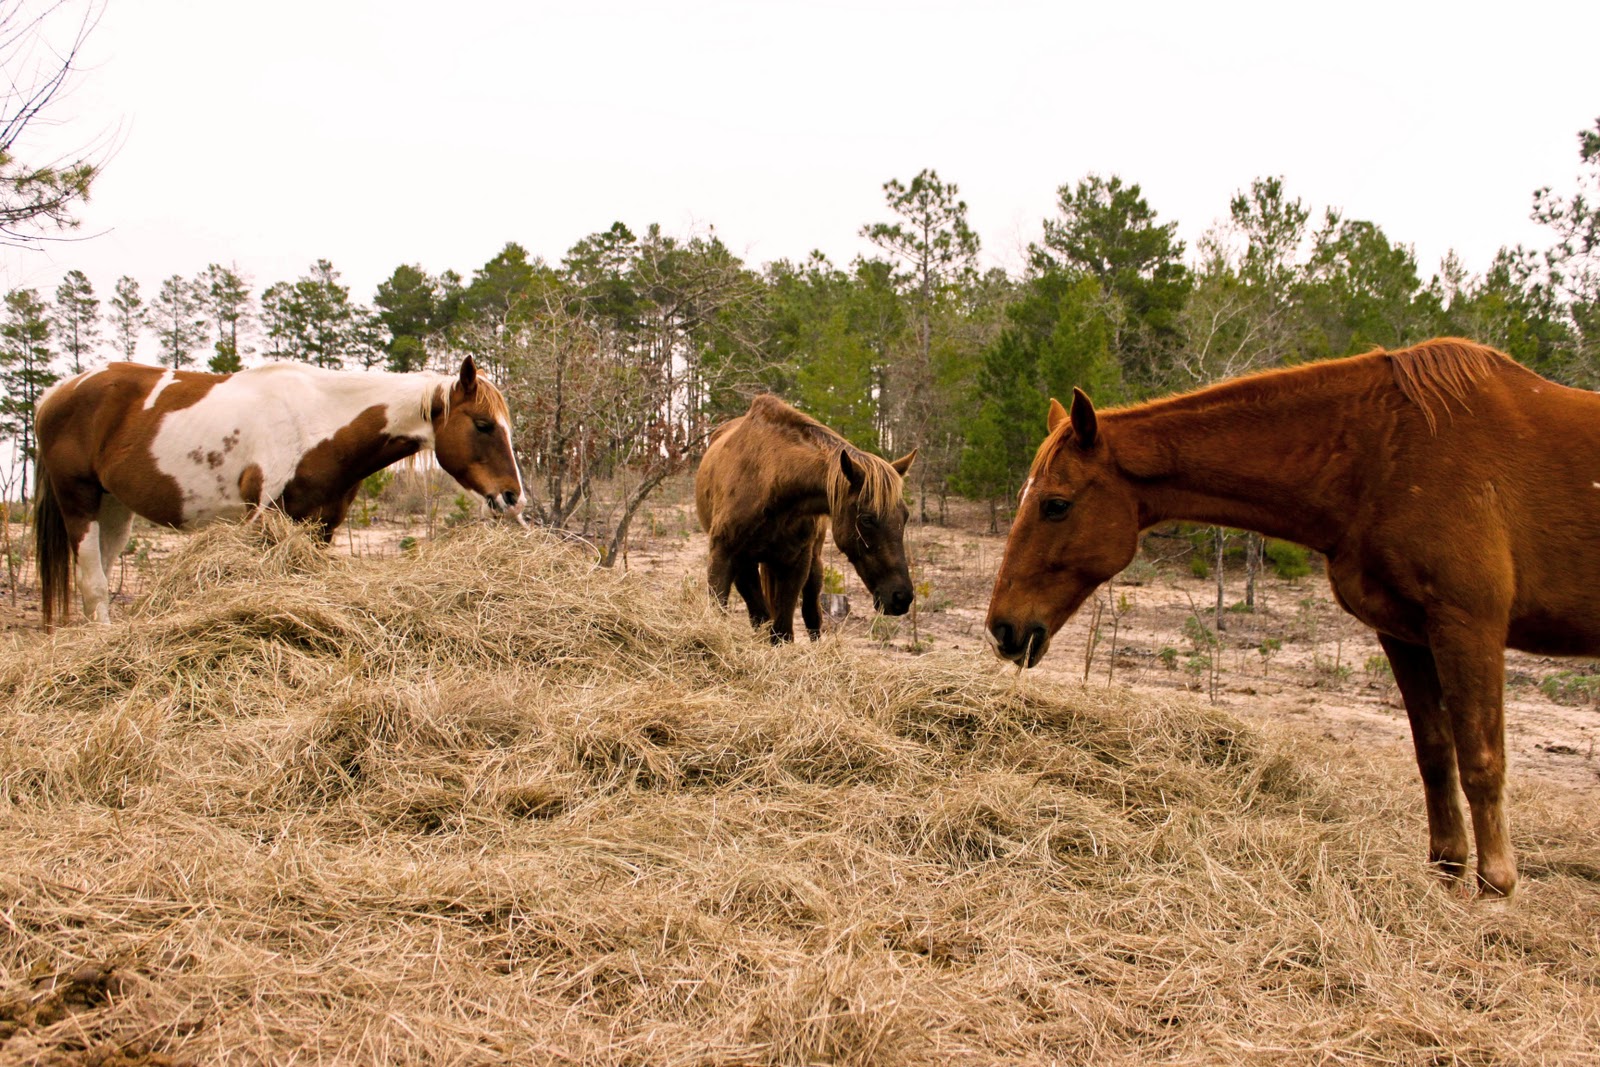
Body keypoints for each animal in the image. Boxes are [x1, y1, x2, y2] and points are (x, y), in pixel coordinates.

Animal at [34, 355, 524, 628]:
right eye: (483, 425)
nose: (512, 496)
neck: (319, 423)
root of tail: (56, 393)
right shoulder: (263, 517)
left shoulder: (321, 525)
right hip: (79, 501)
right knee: (93, 584)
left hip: (114, 509)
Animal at [696, 394, 917, 643]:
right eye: (867, 519)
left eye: (905, 516)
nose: (901, 597)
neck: (768, 480)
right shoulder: (725, 557)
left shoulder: (796, 563)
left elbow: (782, 630)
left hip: (814, 565)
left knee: (812, 616)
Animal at [984, 338, 1600, 898]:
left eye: (1056, 504)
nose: (1002, 628)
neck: (1387, 454)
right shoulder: (1404, 634)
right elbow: (1434, 756)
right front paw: (1446, 874)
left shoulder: (1469, 626)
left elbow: (1480, 760)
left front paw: (1496, 889)